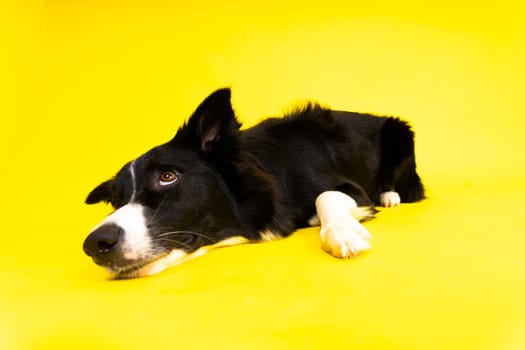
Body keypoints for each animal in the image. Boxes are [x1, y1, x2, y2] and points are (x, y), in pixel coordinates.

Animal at [83, 89, 426, 278]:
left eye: (167, 176)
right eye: (117, 201)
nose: (95, 244)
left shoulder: (350, 187)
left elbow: (326, 196)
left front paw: (343, 232)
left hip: (400, 132)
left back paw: (390, 196)